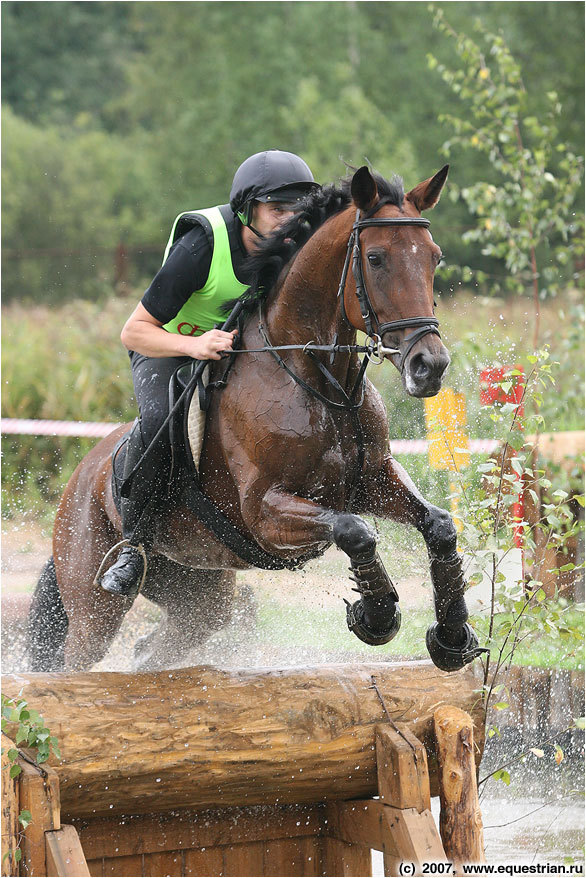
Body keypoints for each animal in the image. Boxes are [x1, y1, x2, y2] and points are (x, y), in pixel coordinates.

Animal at [26, 165, 484, 672]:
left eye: (435, 258)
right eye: (377, 258)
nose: (430, 366)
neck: (320, 382)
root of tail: (80, 477)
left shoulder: (373, 480)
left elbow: (439, 525)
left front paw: (451, 635)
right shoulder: (264, 510)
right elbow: (355, 530)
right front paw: (377, 614)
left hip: (199, 597)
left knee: (156, 652)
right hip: (96, 605)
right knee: (74, 658)